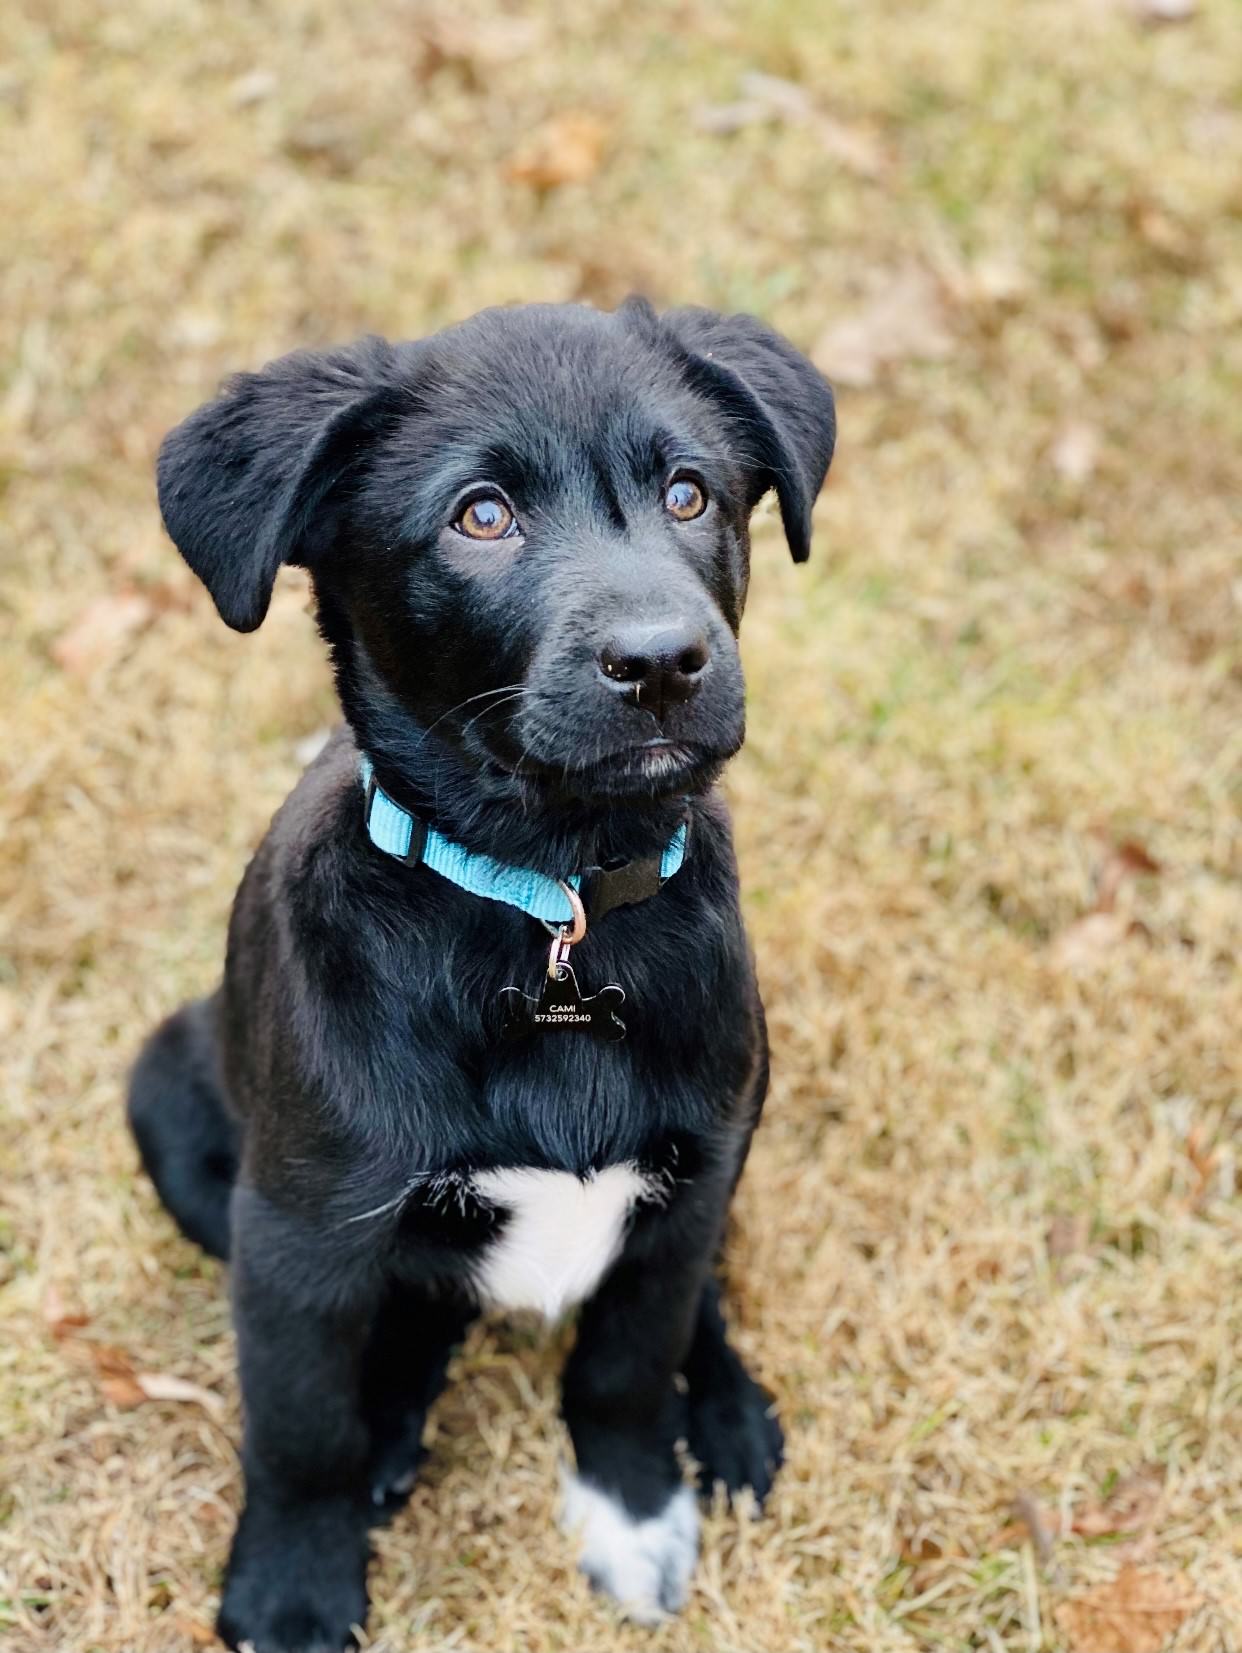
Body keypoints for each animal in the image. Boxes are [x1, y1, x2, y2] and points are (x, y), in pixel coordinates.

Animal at [131, 300, 836, 1653]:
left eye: (689, 493)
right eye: (481, 516)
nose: (663, 661)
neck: (554, 912)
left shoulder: (691, 1176)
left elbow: (628, 1361)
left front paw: (634, 1513)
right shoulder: (295, 1234)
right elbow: (299, 1429)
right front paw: (294, 1588)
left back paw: (722, 1411)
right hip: (174, 1108)